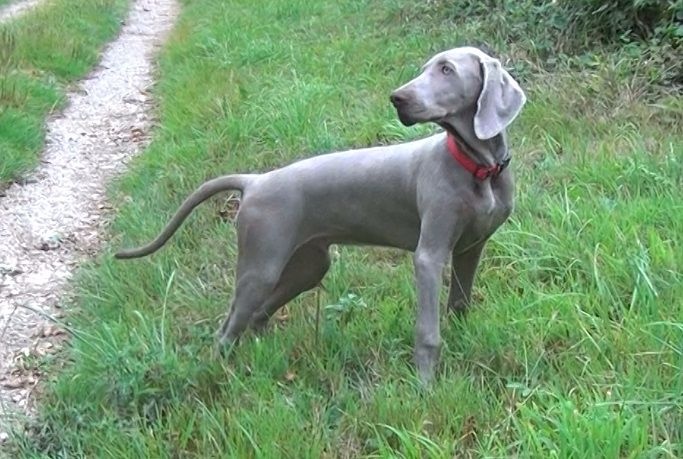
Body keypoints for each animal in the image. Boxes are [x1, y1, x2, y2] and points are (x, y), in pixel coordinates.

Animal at [116, 47, 528, 384]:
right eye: (426, 68)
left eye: (446, 69)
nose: (397, 98)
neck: (479, 169)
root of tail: (255, 180)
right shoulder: (429, 255)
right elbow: (428, 332)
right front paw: (425, 387)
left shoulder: (470, 247)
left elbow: (460, 302)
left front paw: (461, 343)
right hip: (261, 265)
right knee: (228, 328)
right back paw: (220, 375)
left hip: (309, 264)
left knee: (258, 314)